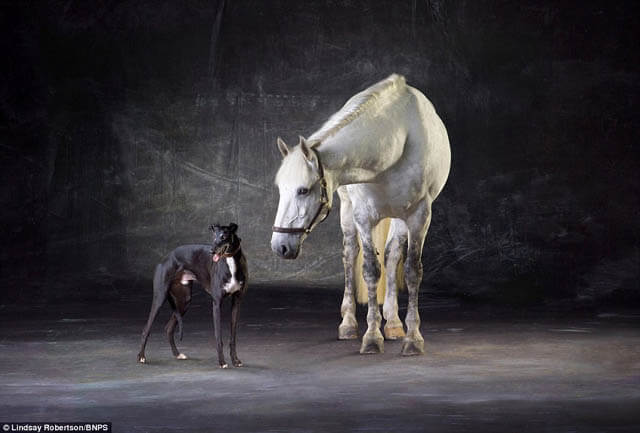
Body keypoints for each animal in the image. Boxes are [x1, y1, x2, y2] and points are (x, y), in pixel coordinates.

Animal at [138, 223, 248, 368]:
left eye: (223, 236)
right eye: (214, 236)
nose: (212, 251)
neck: (230, 262)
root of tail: (166, 257)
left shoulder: (237, 301)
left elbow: (233, 336)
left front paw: (235, 360)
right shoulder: (216, 303)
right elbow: (218, 337)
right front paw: (222, 362)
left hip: (184, 301)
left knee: (168, 328)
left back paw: (177, 354)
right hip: (160, 297)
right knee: (146, 329)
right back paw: (141, 357)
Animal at [270, 75, 450, 354]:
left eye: (303, 190)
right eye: (281, 189)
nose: (280, 246)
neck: (398, 140)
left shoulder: (420, 215)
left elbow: (411, 271)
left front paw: (412, 338)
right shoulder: (363, 216)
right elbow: (370, 270)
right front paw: (372, 337)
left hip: (399, 218)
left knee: (391, 256)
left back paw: (394, 323)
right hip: (347, 210)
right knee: (350, 254)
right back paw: (349, 323)